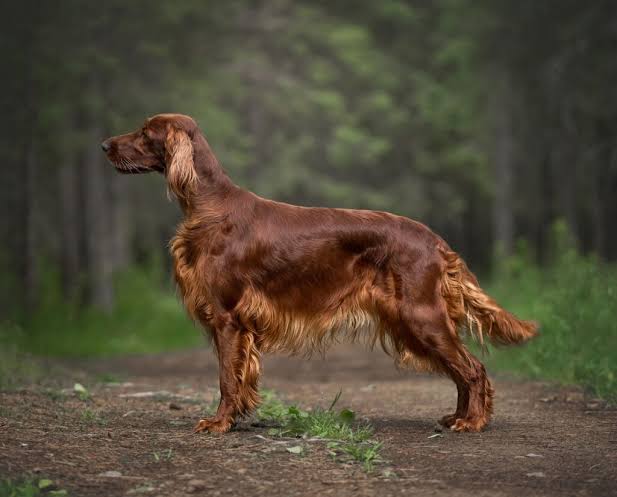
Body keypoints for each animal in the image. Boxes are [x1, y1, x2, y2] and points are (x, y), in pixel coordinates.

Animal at [101, 114, 536, 432]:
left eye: (145, 132)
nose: (104, 145)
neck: (209, 205)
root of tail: (436, 241)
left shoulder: (227, 317)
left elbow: (227, 377)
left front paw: (220, 423)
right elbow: (240, 379)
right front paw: (237, 418)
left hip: (420, 315)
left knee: (473, 368)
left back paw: (472, 422)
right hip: (414, 320)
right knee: (462, 370)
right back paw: (459, 416)